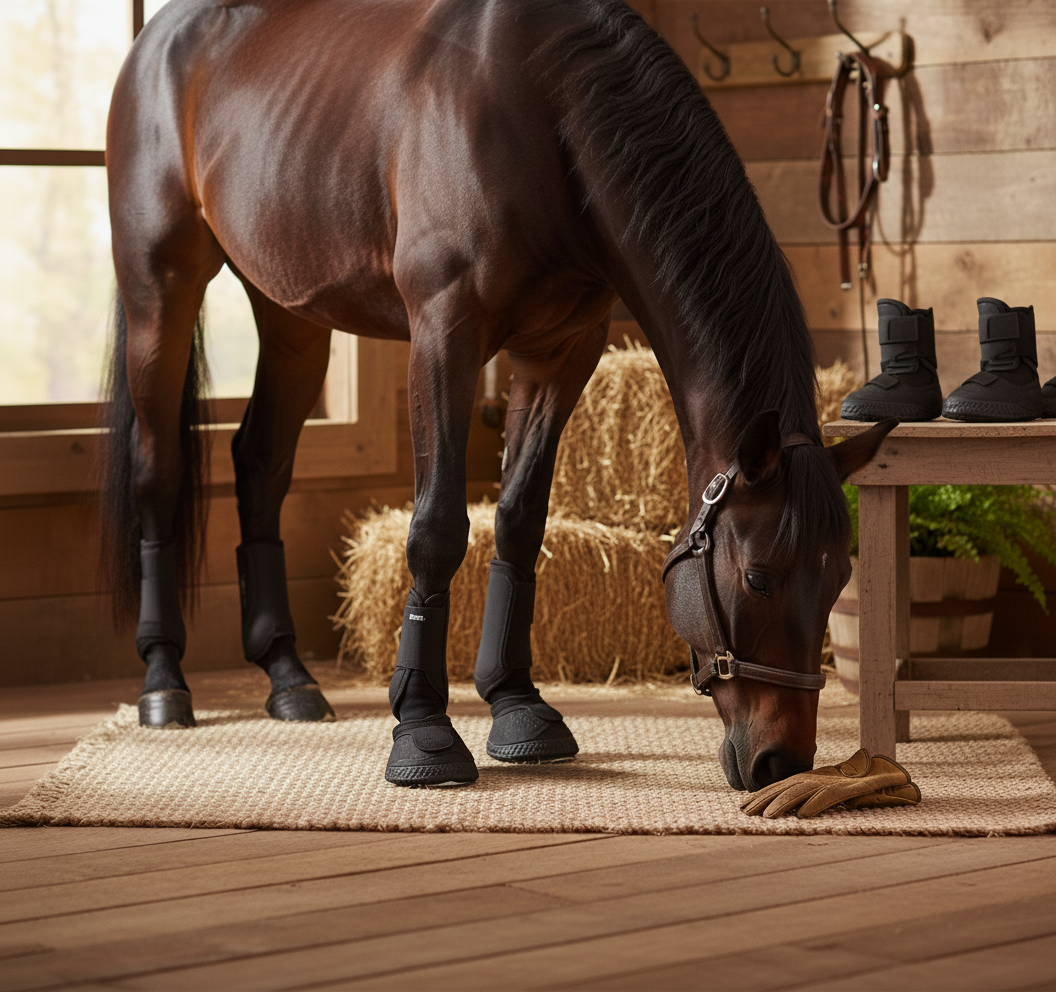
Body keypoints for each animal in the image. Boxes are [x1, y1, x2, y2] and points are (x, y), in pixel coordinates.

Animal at [101, 0, 894, 791]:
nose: (780, 761)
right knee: (155, 472)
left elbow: (518, 521)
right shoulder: (443, 334)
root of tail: (159, 37)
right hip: (159, 292)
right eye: (758, 578)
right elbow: (437, 530)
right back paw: (164, 683)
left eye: (838, 579)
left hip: (291, 314)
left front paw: (517, 705)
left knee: (260, 463)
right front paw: (422, 728)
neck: (540, 109)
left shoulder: (560, 352)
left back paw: (288, 675)